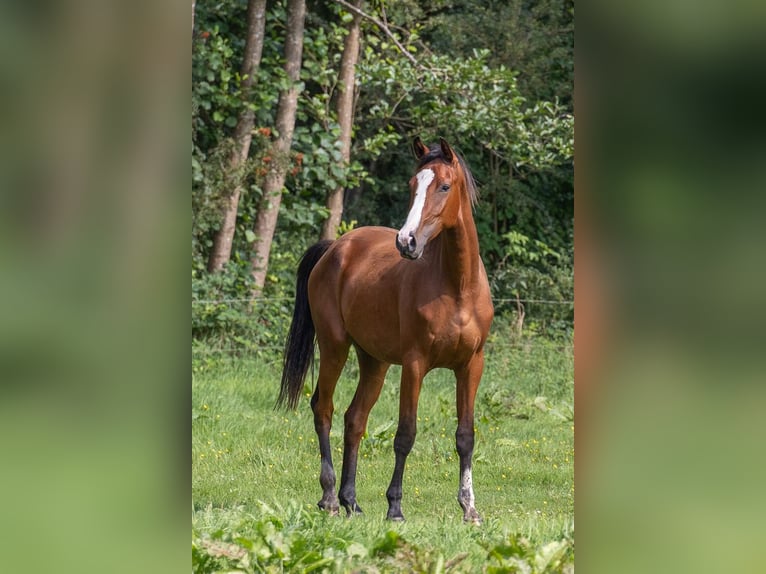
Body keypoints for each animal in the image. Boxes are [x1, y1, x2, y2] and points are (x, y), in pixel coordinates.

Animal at [280, 137, 496, 524]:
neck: (457, 287)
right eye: (412, 185)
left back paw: (351, 501)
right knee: (324, 409)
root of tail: (336, 248)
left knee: (354, 419)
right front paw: (395, 506)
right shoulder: (414, 365)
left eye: (444, 186)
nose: (406, 242)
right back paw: (330, 498)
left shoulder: (471, 365)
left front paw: (470, 508)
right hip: (334, 347)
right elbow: (405, 435)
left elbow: (465, 436)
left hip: (374, 362)